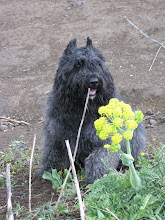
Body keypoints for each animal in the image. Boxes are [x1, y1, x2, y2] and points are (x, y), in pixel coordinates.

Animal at [38, 37, 146, 184]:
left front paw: (95, 178)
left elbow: (98, 159)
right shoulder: (57, 136)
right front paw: (47, 171)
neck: (82, 109)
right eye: (77, 65)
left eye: (98, 64)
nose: (94, 81)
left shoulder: (103, 142)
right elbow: (52, 153)